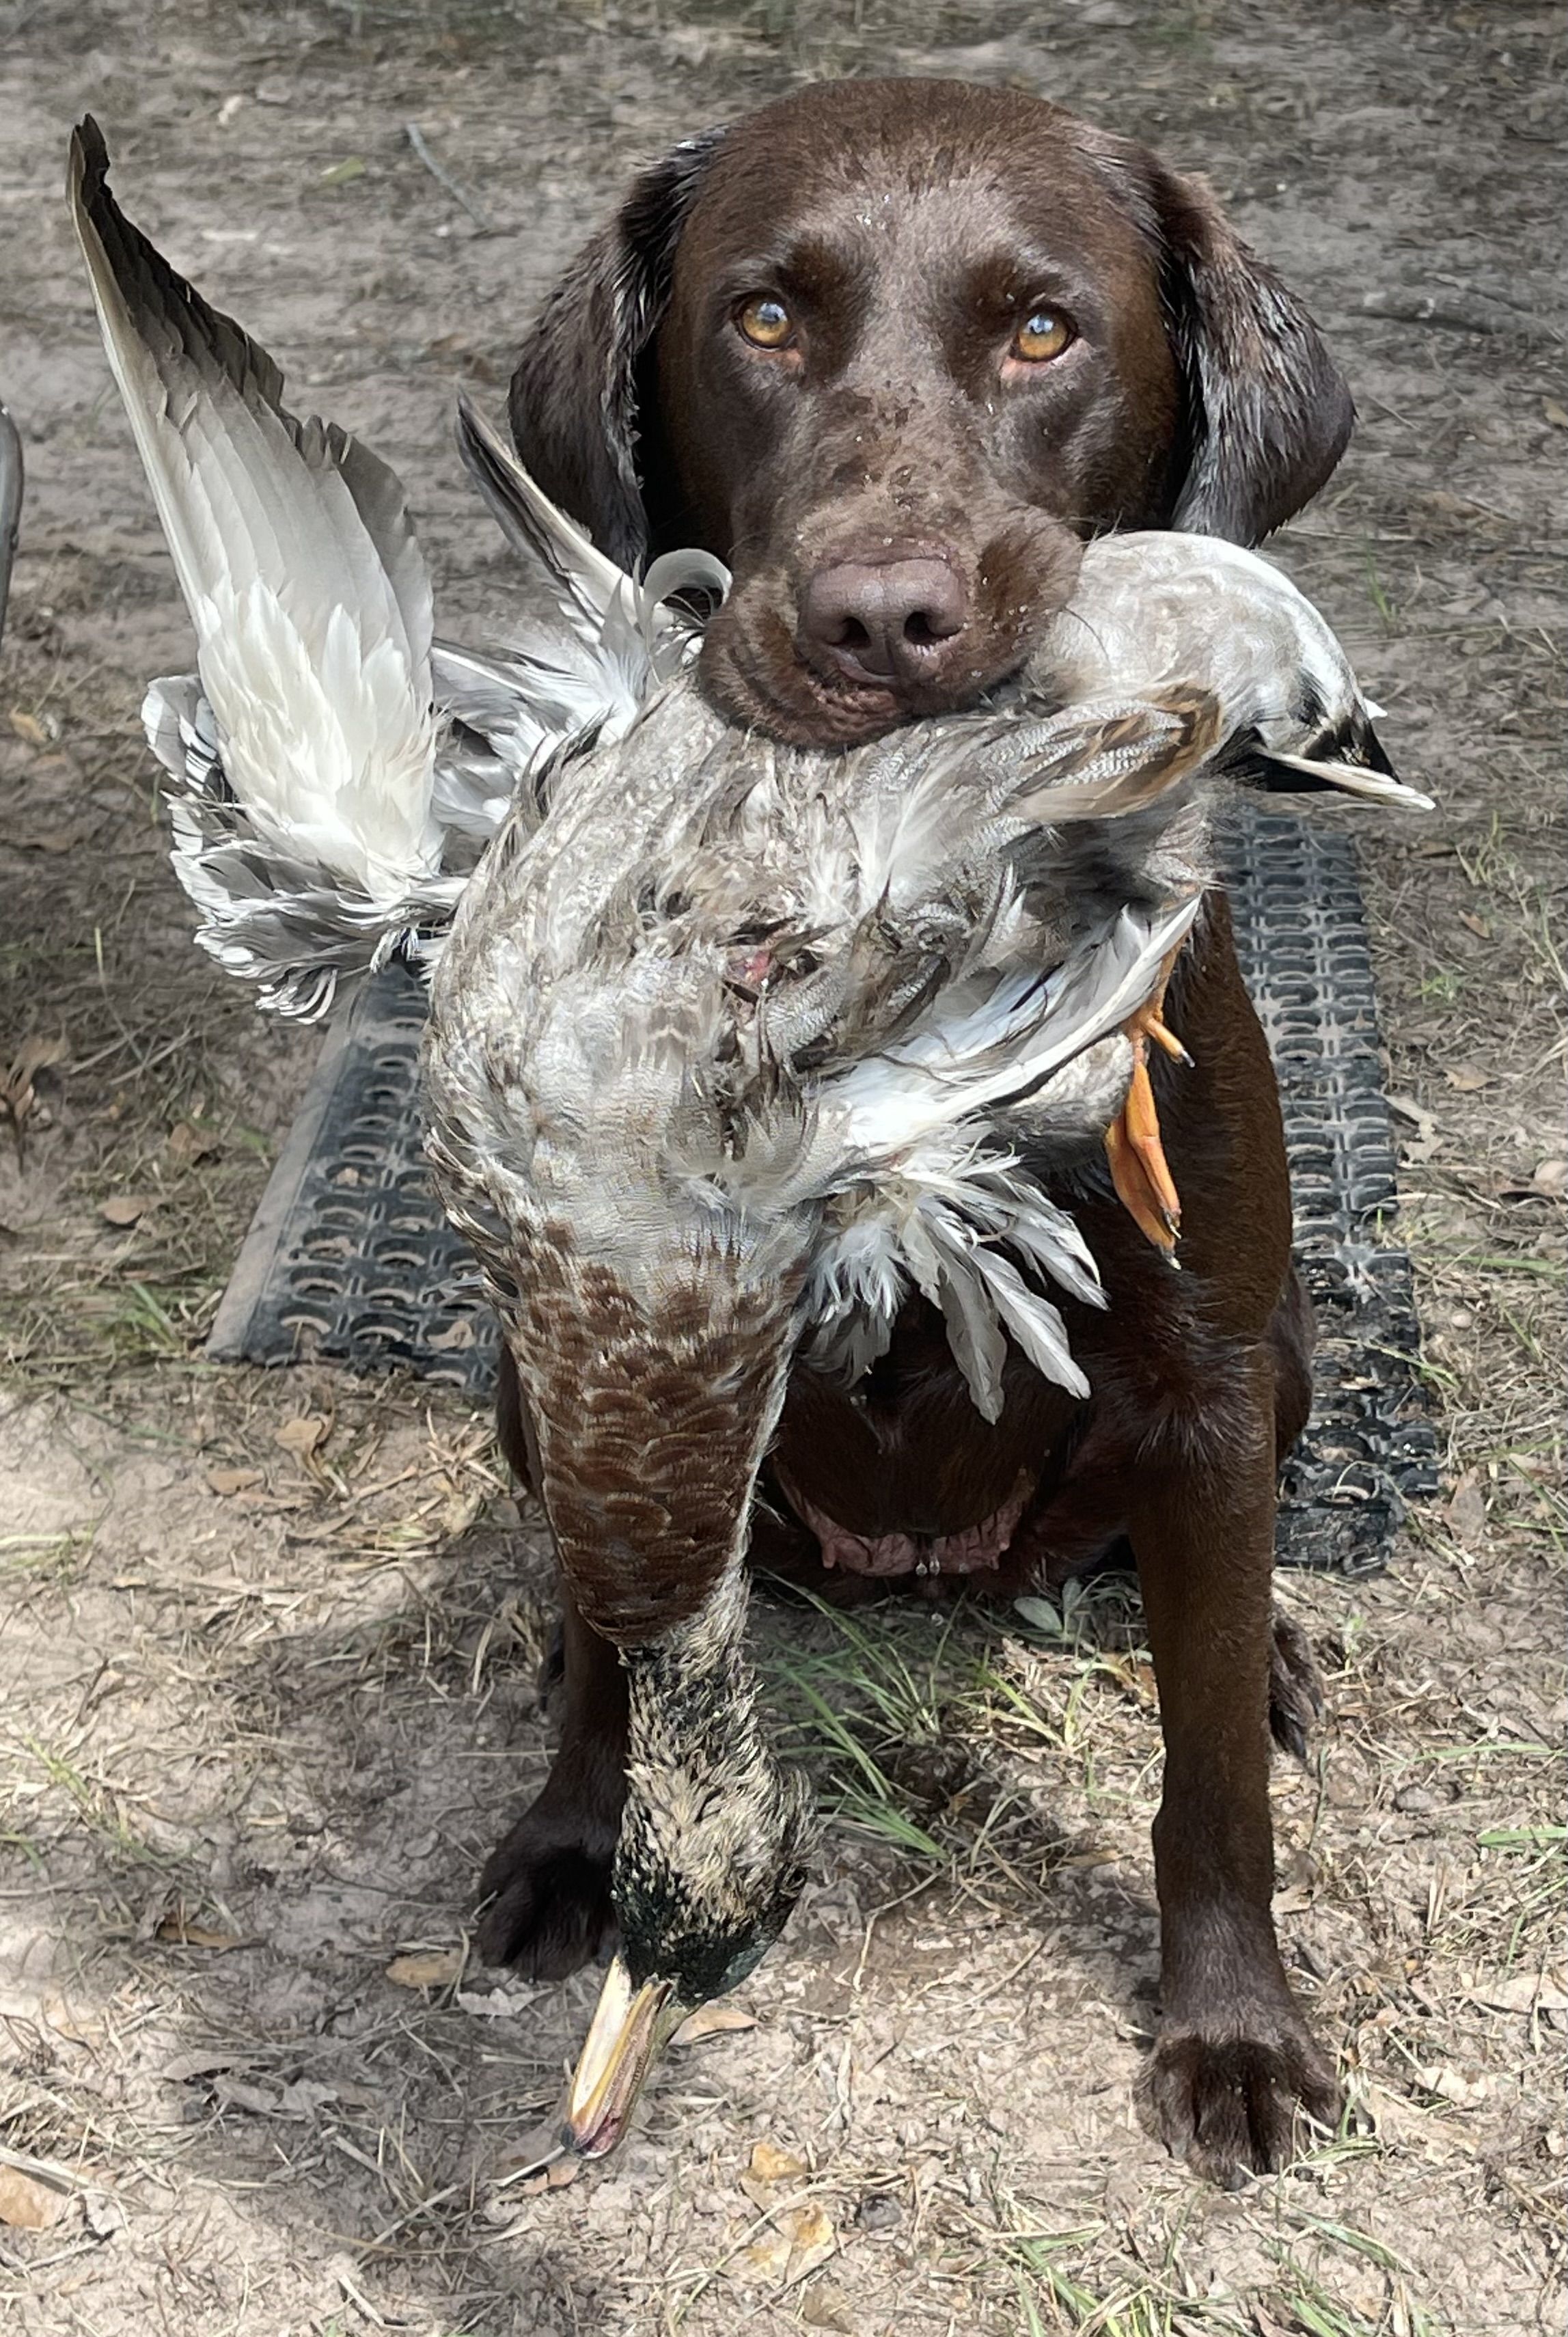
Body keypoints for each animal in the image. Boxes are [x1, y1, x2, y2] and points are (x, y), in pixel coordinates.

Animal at [481, 75, 1350, 2184]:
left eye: (1041, 329)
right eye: (760, 320)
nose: (880, 620)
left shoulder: (1205, 1375)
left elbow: (1204, 1764)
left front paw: (1231, 2027)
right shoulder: (572, 1346)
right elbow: (612, 1641)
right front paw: (574, 1837)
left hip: (1272, 1359)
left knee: (1201, 1600)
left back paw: (1275, 1644)